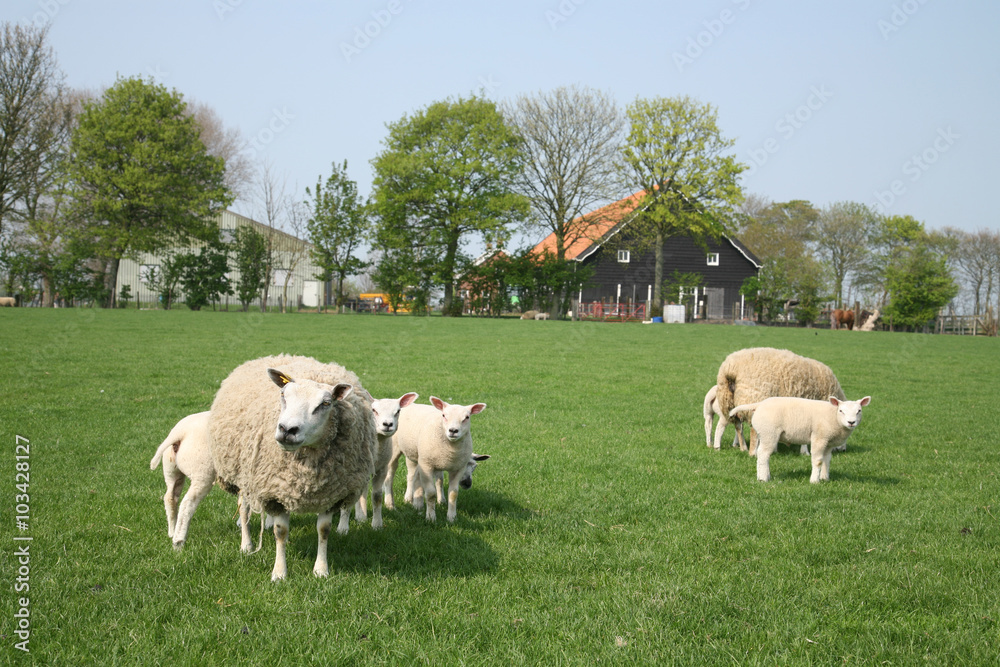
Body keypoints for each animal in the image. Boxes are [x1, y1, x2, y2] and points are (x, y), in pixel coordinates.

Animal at [149, 411, 216, 549]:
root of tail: (180, 431)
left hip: (172, 472)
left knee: (170, 498)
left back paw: (172, 532)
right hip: (202, 472)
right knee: (187, 503)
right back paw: (179, 542)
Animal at [209, 355, 377, 581]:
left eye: (325, 403)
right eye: (283, 395)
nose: (287, 430)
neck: (306, 474)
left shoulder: (329, 492)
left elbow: (324, 530)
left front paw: (321, 570)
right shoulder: (276, 492)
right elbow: (280, 532)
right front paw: (279, 573)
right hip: (244, 475)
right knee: (244, 509)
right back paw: (247, 545)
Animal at [714, 347, 846, 454]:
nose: (843, 449)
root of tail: (731, 369)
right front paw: (805, 451)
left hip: (728, 402)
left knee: (738, 426)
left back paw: (743, 448)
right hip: (754, 398)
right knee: (752, 430)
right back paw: (752, 452)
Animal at [730, 396, 871, 483]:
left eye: (859, 411)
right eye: (841, 410)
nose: (851, 422)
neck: (833, 416)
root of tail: (759, 404)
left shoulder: (829, 442)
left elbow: (827, 460)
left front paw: (825, 478)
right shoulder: (819, 438)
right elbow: (818, 461)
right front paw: (814, 481)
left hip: (764, 433)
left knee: (762, 454)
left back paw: (764, 475)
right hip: (769, 433)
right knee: (763, 454)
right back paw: (763, 478)